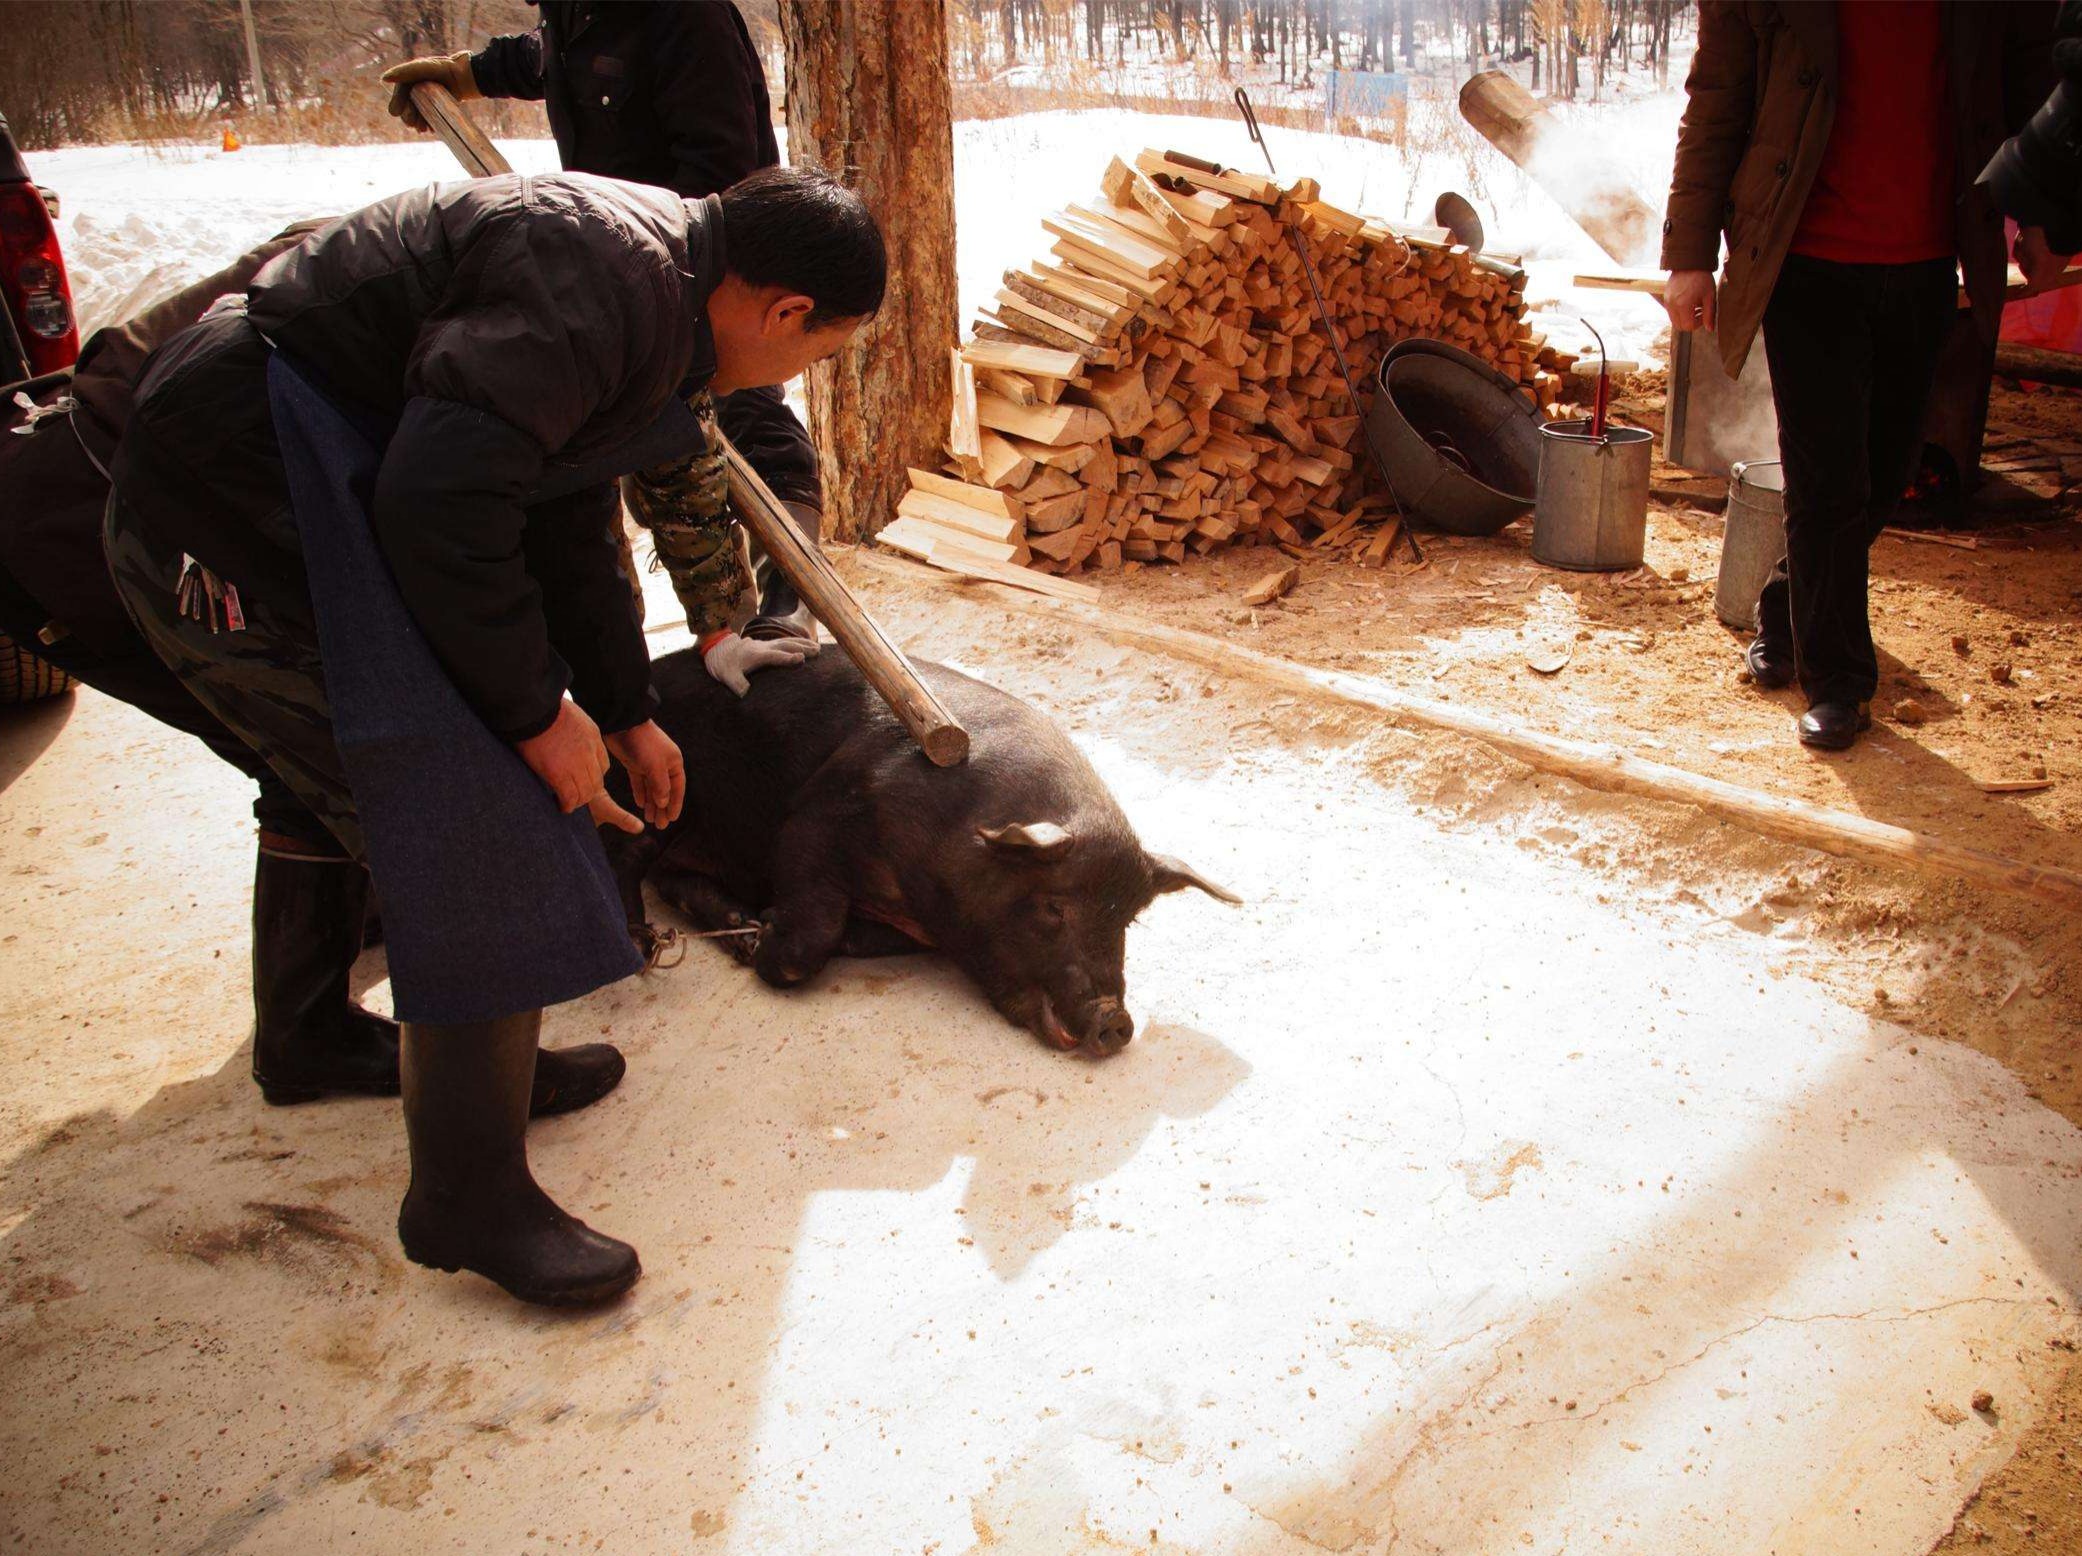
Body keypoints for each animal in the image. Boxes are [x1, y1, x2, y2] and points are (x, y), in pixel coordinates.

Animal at [599, 645, 1232, 1058]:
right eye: (1055, 907)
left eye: (1128, 920)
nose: (1117, 1022)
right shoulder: (817, 814)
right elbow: (812, 927)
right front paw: (766, 949)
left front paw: (762, 933)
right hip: (657, 789)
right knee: (626, 858)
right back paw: (642, 944)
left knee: (672, 876)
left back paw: (735, 925)